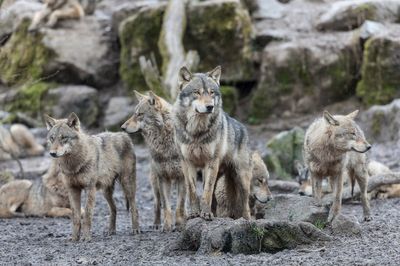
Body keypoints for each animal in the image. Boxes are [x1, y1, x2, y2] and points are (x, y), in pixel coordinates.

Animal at [44, 112, 139, 241]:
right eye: (52, 138)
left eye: (64, 138)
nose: (52, 153)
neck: (74, 165)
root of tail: (124, 135)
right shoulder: (73, 190)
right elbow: (76, 217)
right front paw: (74, 238)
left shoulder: (90, 189)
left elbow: (87, 215)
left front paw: (86, 237)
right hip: (106, 192)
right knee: (114, 209)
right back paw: (111, 231)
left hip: (127, 185)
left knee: (134, 207)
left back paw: (136, 230)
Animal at [120, 90, 186, 232]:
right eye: (134, 113)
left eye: (140, 114)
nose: (122, 127)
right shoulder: (163, 177)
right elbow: (166, 206)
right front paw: (166, 226)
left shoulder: (182, 177)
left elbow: (180, 205)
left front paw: (179, 225)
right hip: (155, 182)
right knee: (157, 203)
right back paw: (156, 224)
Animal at [173, 65, 253, 219]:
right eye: (197, 92)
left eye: (211, 93)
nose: (210, 106)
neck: (197, 132)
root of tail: (244, 128)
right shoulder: (187, 162)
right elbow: (192, 191)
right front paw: (195, 213)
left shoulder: (210, 162)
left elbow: (206, 192)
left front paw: (205, 213)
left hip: (241, 178)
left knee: (245, 204)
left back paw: (247, 220)